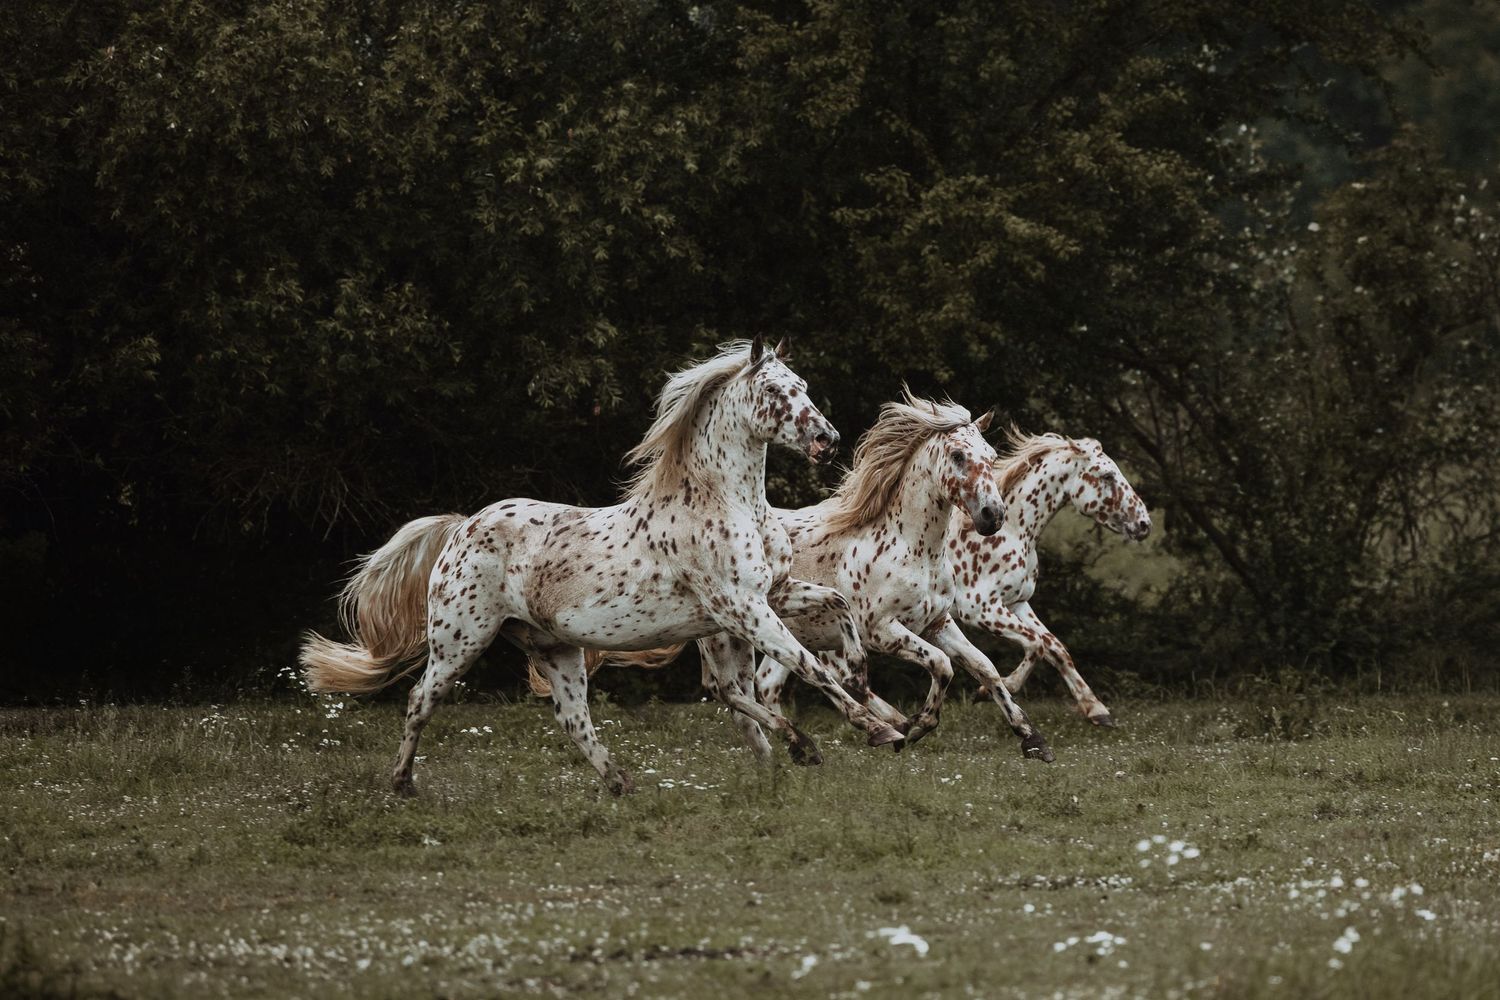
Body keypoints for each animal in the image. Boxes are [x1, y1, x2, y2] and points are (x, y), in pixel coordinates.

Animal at [300, 337, 906, 796]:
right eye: (777, 391)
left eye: (803, 386)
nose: (828, 440)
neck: (727, 503)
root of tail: (461, 527)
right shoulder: (743, 607)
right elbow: (810, 665)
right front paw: (879, 730)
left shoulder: (770, 594)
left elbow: (839, 613)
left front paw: (866, 696)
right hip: (460, 642)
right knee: (420, 700)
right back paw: (403, 784)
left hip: (555, 648)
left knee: (575, 719)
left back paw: (622, 783)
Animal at [946, 429, 1151, 726]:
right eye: (1107, 476)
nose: (1144, 524)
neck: (1013, 531)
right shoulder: (980, 609)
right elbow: (1036, 644)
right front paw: (989, 691)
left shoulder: (1017, 602)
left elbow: (1056, 647)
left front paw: (1096, 710)